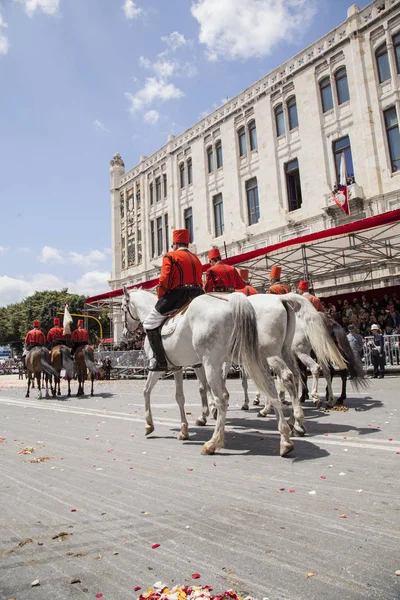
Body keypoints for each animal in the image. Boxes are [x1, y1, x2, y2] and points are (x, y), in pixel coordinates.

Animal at [120, 288, 296, 458]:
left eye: (122, 308)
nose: (125, 335)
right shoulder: (178, 368)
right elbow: (180, 397)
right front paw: (184, 430)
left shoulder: (158, 368)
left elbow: (146, 391)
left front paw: (149, 425)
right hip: (255, 357)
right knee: (272, 387)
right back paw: (285, 438)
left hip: (215, 362)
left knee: (223, 398)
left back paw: (213, 443)